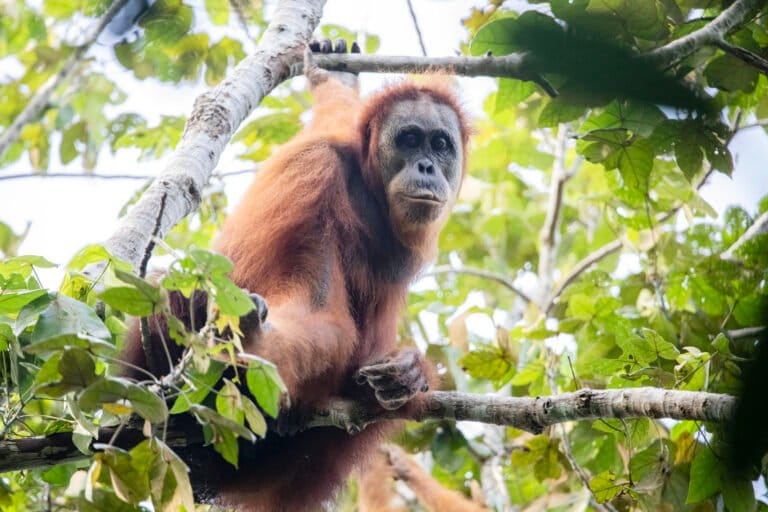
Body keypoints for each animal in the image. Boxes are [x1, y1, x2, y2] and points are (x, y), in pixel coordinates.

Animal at [121, 39, 470, 511]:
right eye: (411, 139)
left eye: (440, 144)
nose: (428, 167)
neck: (369, 190)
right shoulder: (314, 176)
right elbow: (316, 309)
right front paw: (253, 341)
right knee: (169, 289)